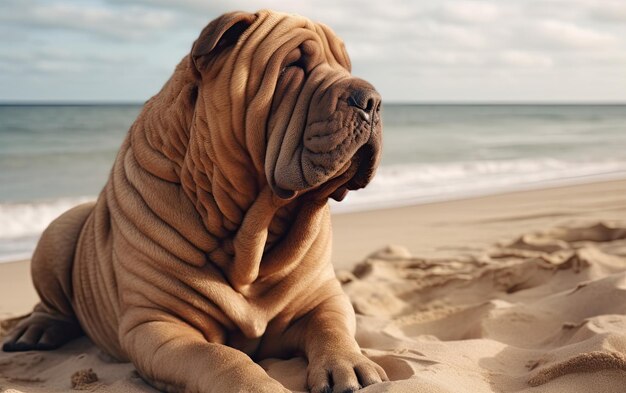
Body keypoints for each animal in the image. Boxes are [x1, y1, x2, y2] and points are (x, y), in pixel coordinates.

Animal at [3, 8, 386, 392]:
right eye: (294, 64)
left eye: (345, 67)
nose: (372, 99)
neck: (253, 233)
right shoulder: (159, 326)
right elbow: (221, 357)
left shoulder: (324, 297)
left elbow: (332, 326)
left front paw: (351, 364)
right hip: (59, 230)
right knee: (51, 305)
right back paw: (35, 331)